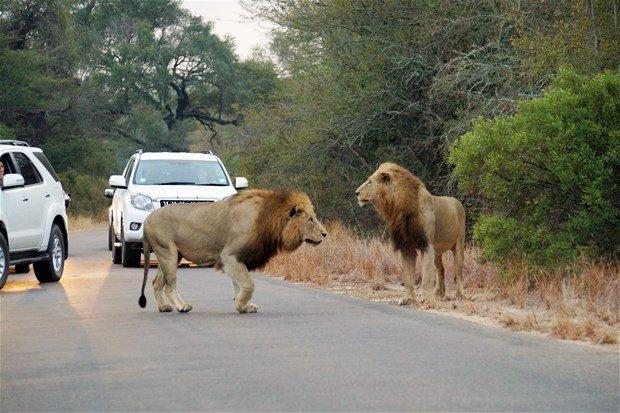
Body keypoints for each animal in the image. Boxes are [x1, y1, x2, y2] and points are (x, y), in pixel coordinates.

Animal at [138, 189, 326, 312]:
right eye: (311, 220)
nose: (325, 234)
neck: (269, 220)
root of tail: (146, 220)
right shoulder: (229, 256)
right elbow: (249, 284)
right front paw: (241, 304)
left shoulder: (238, 259)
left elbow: (238, 284)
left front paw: (243, 306)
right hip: (168, 254)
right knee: (170, 285)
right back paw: (182, 306)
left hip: (170, 255)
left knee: (156, 283)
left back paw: (163, 307)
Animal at [356, 163, 462, 304]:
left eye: (369, 182)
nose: (356, 192)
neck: (400, 207)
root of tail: (457, 201)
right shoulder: (406, 247)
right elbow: (407, 277)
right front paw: (409, 299)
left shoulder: (426, 245)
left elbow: (426, 277)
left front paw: (426, 299)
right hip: (437, 252)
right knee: (441, 269)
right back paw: (439, 293)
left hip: (459, 243)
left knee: (458, 270)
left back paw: (460, 294)